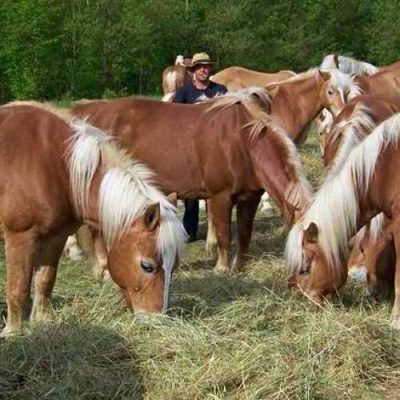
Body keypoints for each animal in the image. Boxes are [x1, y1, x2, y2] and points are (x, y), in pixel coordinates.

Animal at [0, 102, 186, 334]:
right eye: (147, 266)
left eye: (174, 265)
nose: (158, 320)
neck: (56, 165)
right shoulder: (21, 237)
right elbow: (19, 288)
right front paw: (13, 332)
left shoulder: (55, 238)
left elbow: (45, 281)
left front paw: (42, 321)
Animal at [72, 89, 312, 274]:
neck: (243, 141)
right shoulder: (220, 197)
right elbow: (224, 234)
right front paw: (222, 268)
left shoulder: (249, 198)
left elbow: (244, 234)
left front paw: (241, 266)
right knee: (95, 230)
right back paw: (103, 268)